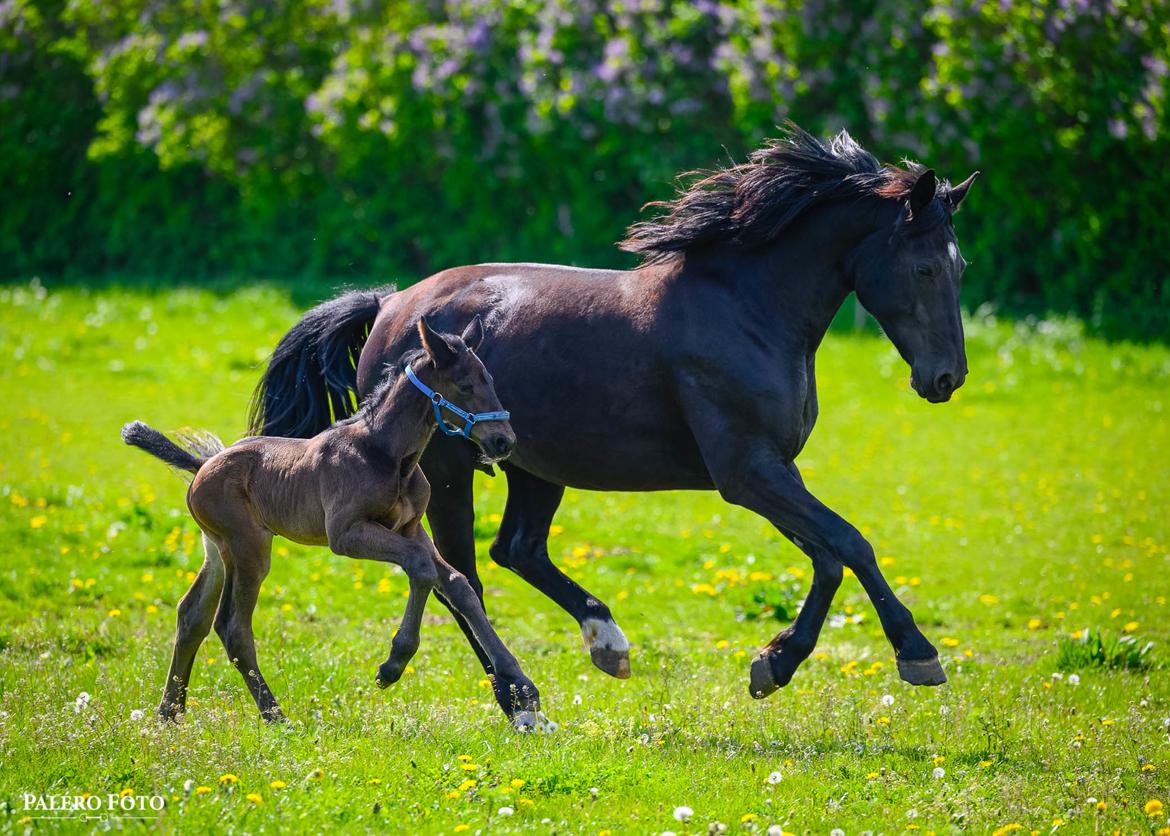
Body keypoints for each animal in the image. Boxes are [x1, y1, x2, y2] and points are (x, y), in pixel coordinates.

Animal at [125, 318, 545, 729]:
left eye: (490, 379)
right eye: (465, 385)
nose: (504, 441)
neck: (387, 455)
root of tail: (201, 467)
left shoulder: (410, 529)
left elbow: (458, 585)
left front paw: (522, 686)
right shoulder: (346, 534)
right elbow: (421, 568)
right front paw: (392, 665)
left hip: (215, 548)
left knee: (191, 614)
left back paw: (169, 712)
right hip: (248, 548)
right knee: (231, 625)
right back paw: (275, 716)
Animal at [253, 125, 978, 701]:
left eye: (959, 264)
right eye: (922, 268)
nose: (945, 378)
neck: (747, 311)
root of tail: (392, 305)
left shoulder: (773, 472)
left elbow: (829, 555)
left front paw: (773, 664)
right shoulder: (748, 474)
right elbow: (851, 542)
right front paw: (917, 654)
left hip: (533, 466)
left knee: (516, 549)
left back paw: (606, 641)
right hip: (448, 472)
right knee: (462, 575)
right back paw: (518, 698)